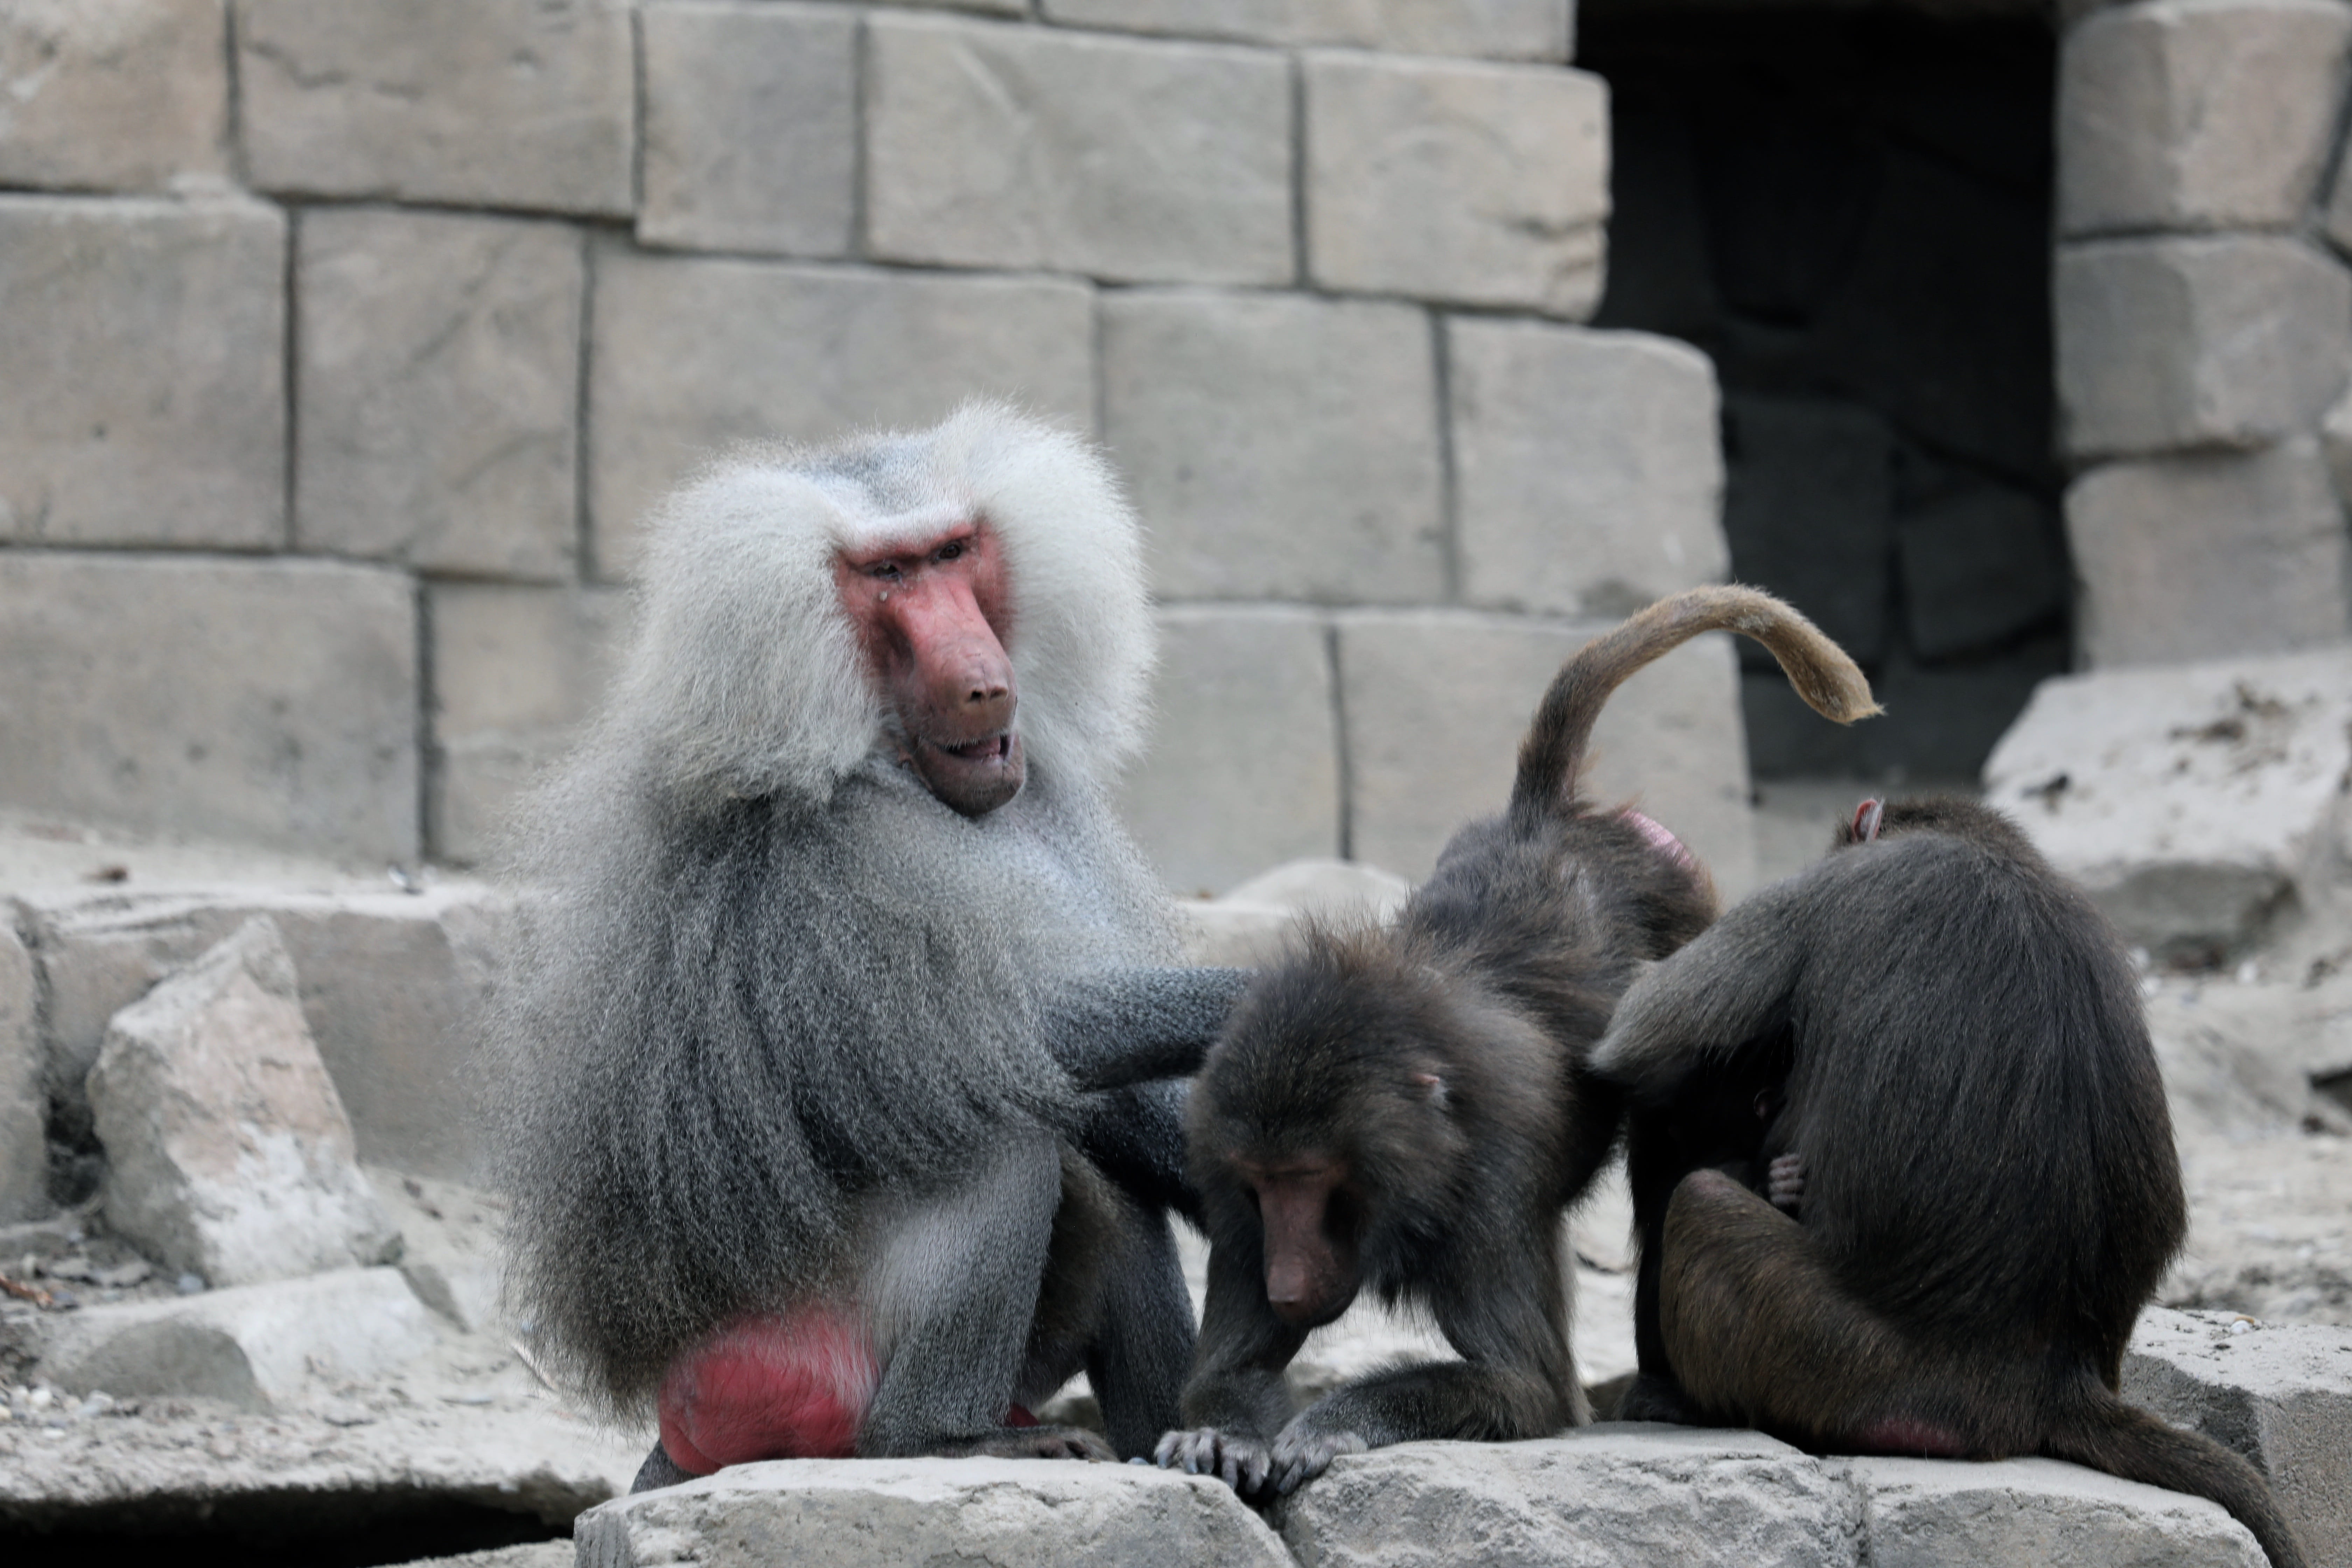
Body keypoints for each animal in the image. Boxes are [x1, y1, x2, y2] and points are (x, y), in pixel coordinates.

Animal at [484, 404, 1251, 1491]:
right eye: (887, 576)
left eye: (953, 553)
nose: (981, 687)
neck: (898, 770)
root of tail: (680, 1420)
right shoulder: (834, 861)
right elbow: (981, 1035)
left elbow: (1103, 1090)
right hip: (794, 1350)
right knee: (997, 1130)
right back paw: (942, 1437)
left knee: (1108, 1193)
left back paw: (1194, 1446)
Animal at [1156, 586, 1879, 1501]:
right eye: (1262, 1182)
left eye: (1310, 1180)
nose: (1284, 1283)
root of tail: (1542, 819)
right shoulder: (1225, 1166)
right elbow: (1234, 1366)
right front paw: (1222, 1434)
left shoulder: (1489, 1189)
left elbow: (1525, 1383)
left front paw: (1328, 1425)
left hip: (1687, 908)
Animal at [1589, 795, 2309, 1568]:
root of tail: (2051, 1382)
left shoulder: (1827, 892)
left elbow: (1634, 1027)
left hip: (1845, 1365)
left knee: (1696, 1194)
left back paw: (1674, 1401)